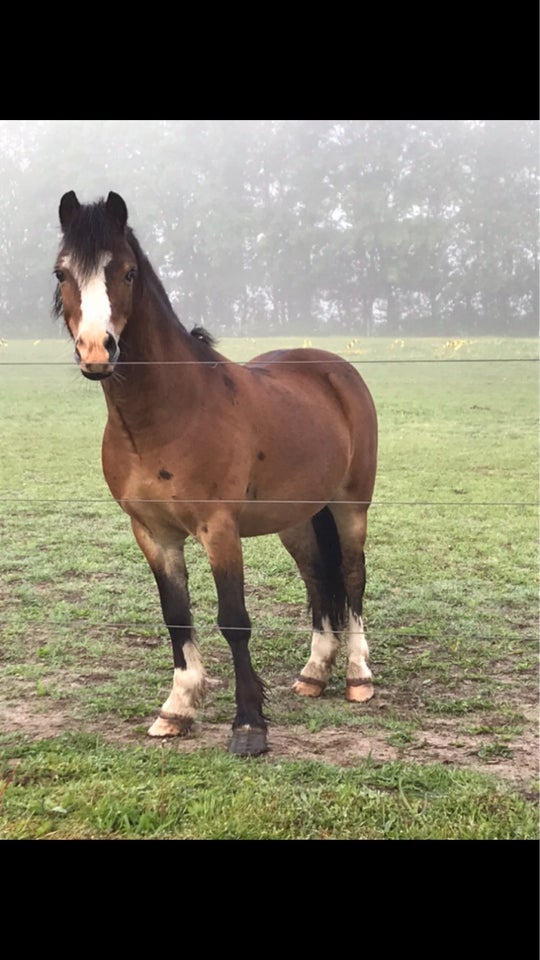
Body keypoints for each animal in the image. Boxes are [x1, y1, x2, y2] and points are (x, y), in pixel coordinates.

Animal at [52, 189, 378, 756]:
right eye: (62, 273)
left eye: (128, 272)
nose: (96, 350)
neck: (169, 414)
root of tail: (335, 369)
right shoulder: (153, 534)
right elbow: (175, 615)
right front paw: (177, 708)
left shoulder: (218, 529)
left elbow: (234, 620)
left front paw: (248, 725)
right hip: (296, 518)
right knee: (318, 577)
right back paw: (314, 673)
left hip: (350, 506)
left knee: (353, 578)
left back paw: (358, 677)